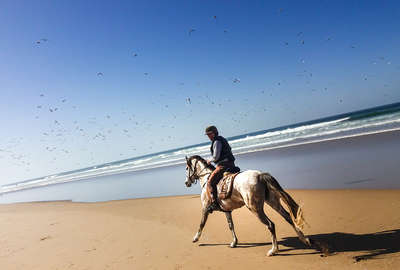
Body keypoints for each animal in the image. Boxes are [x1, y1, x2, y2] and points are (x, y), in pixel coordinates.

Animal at [184, 155, 312, 256]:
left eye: (187, 168)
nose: (186, 182)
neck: (206, 178)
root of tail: (260, 175)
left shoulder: (205, 208)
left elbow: (201, 224)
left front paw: (195, 238)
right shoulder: (227, 211)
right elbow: (231, 226)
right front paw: (234, 242)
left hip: (255, 209)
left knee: (271, 225)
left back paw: (273, 250)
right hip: (273, 202)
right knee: (288, 217)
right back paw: (304, 239)